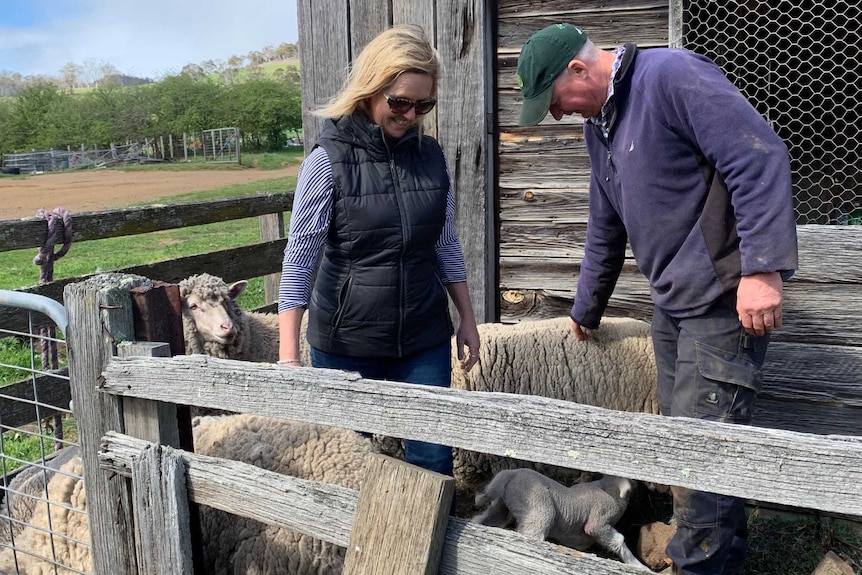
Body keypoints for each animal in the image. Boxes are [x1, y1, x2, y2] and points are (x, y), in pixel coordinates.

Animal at [476, 470, 652, 572]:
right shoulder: (598, 523)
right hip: (537, 507)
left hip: (501, 505)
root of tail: (509, 475)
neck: (611, 493)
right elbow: (619, 540)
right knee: (532, 532)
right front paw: (639, 566)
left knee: (484, 518)